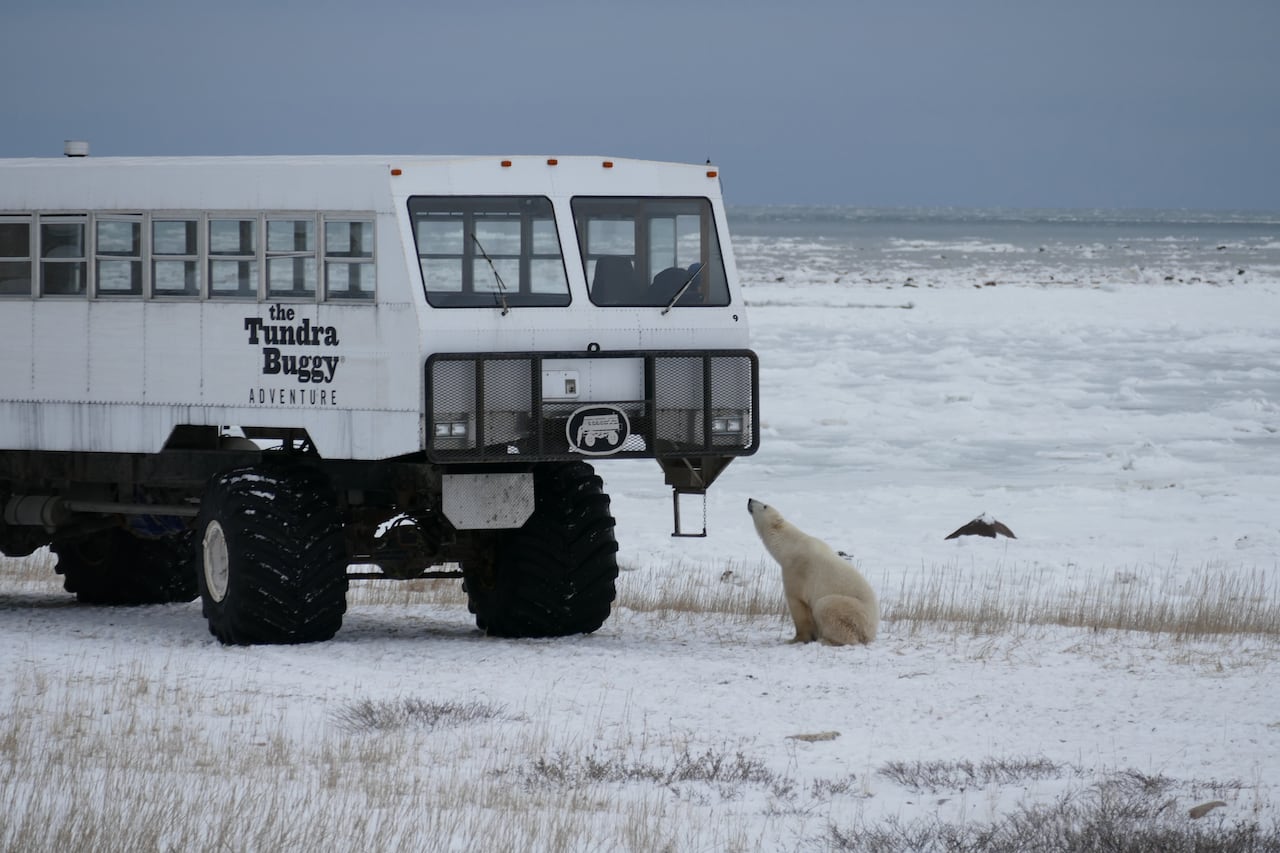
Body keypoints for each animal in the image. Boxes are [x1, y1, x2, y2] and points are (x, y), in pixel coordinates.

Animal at [747, 498, 878, 646]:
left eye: (765, 506)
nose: (750, 499)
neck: (790, 546)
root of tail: (871, 633)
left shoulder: (797, 570)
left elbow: (797, 603)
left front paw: (795, 639)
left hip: (854, 612)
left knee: (826, 607)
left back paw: (826, 640)